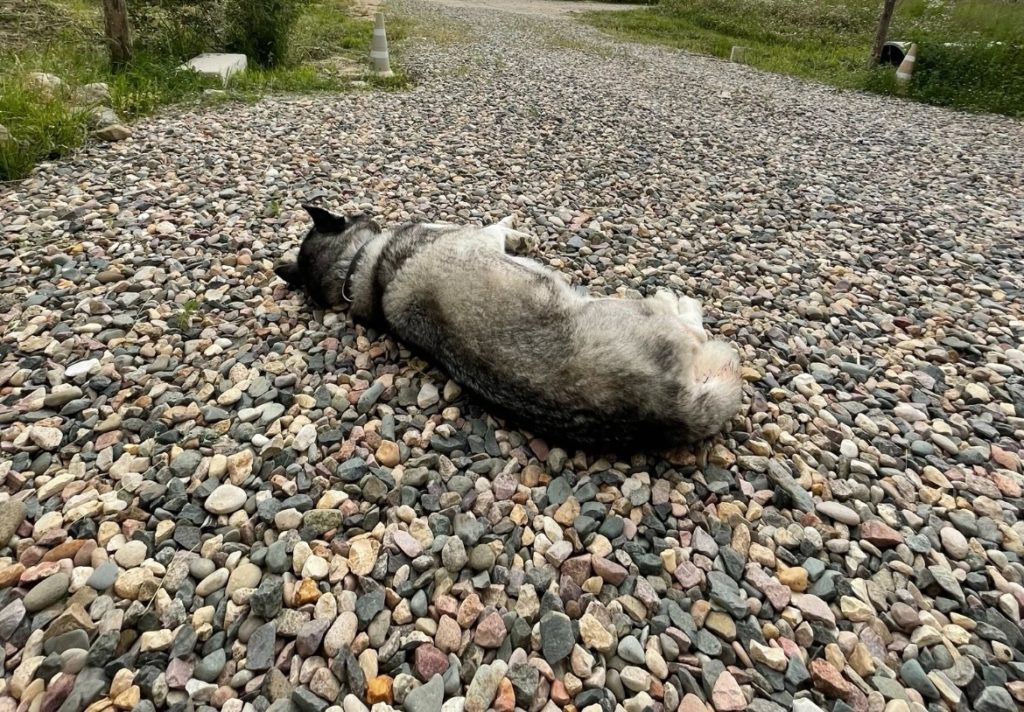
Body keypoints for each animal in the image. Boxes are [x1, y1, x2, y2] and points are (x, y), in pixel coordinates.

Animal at [272, 204, 741, 450]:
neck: (359, 269)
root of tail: (670, 408)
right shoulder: (475, 239)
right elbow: (492, 227)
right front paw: (515, 232)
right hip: (633, 313)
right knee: (696, 331)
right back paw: (680, 302)